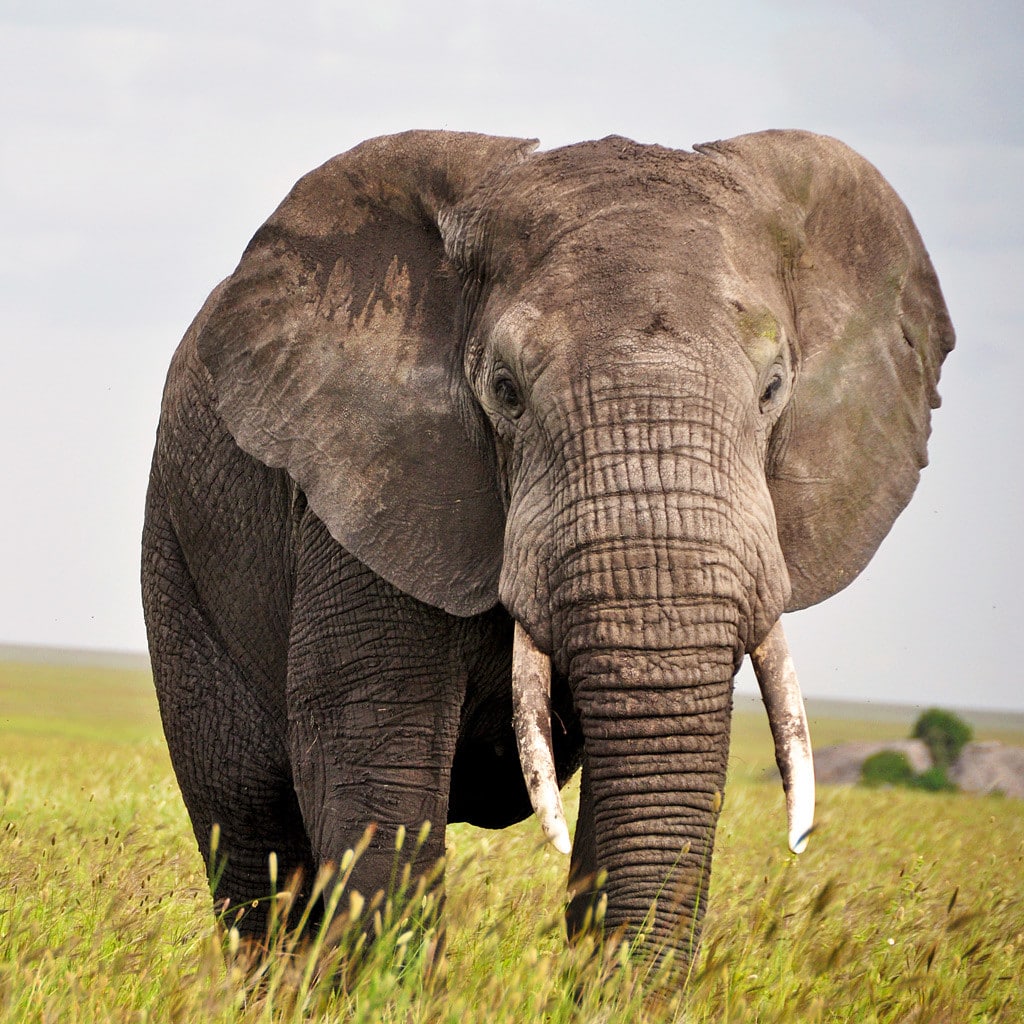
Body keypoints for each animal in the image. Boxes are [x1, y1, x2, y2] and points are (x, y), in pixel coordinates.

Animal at [141, 128, 953, 964]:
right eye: (505, 390)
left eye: (774, 389)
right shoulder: (366, 486)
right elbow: (376, 769)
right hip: (179, 550)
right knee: (252, 833)